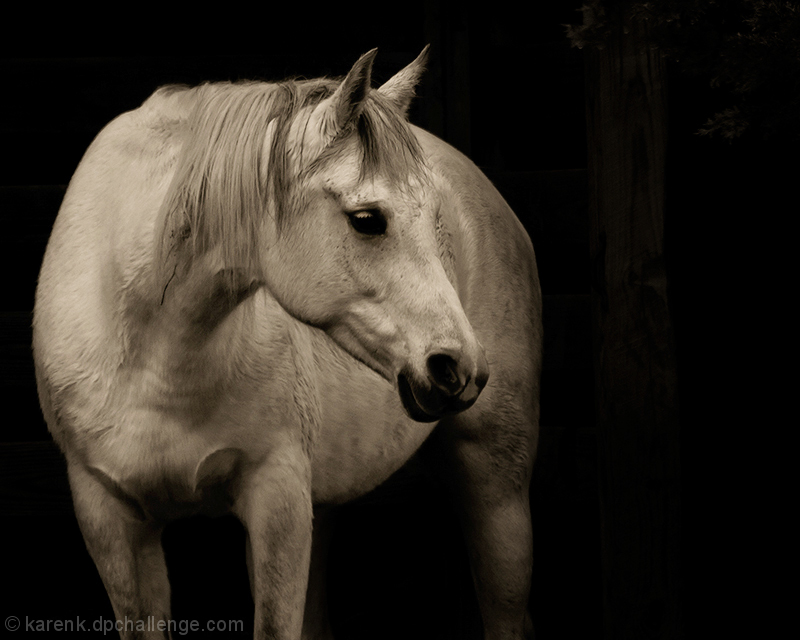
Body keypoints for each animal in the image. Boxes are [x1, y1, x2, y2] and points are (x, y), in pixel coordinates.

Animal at [32, 47, 544, 636]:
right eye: (367, 219)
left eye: (438, 222)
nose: (458, 367)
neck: (153, 358)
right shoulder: (108, 516)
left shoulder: (277, 501)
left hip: (497, 485)